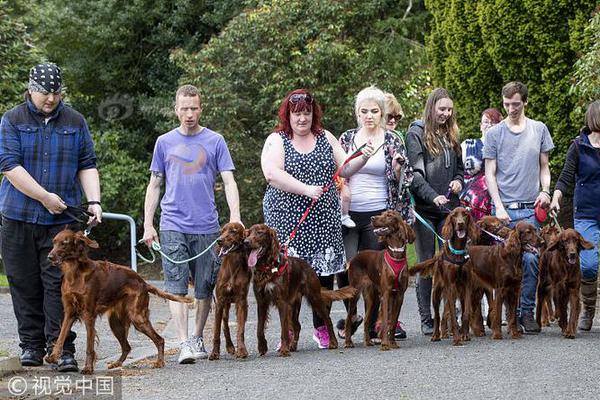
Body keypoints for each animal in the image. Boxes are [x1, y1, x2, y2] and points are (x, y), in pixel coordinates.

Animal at [47, 230, 192, 374]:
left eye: (64, 243)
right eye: (54, 242)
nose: (49, 257)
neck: (74, 272)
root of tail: (143, 282)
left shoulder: (89, 314)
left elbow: (89, 346)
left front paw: (88, 368)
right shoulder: (69, 313)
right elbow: (61, 337)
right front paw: (53, 356)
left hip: (137, 317)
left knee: (159, 339)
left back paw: (159, 362)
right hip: (115, 322)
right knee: (127, 346)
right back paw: (116, 363)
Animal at [209, 223, 251, 360]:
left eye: (233, 231)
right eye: (222, 231)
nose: (219, 240)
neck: (233, 264)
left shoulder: (241, 302)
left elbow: (240, 329)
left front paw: (242, 350)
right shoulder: (220, 301)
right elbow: (216, 331)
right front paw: (214, 353)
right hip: (225, 305)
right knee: (225, 324)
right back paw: (229, 346)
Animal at [244, 223, 356, 358]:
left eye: (260, 232)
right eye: (248, 233)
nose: (246, 242)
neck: (268, 268)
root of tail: (308, 266)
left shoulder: (282, 302)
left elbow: (283, 329)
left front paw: (284, 350)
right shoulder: (262, 301)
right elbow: (259, 328)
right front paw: (262, 347)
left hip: (313, 297)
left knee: (327, 319)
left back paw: (333, 343)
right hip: (293, 305)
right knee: (297, 325)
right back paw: (293, 346)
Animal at [342, 209, 412, 350]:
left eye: (389, 215)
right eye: (382, 213)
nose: (372, 218)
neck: (396, 253)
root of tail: (355, 257)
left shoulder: (399, 295)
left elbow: (393, 320)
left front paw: (392, 343)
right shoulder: (386, 294)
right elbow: (385, 321)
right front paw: (385, 344)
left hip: (372, 298)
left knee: (367, 320)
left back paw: (368, 342)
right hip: (355, 293)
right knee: (348, 318)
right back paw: (348, 342)